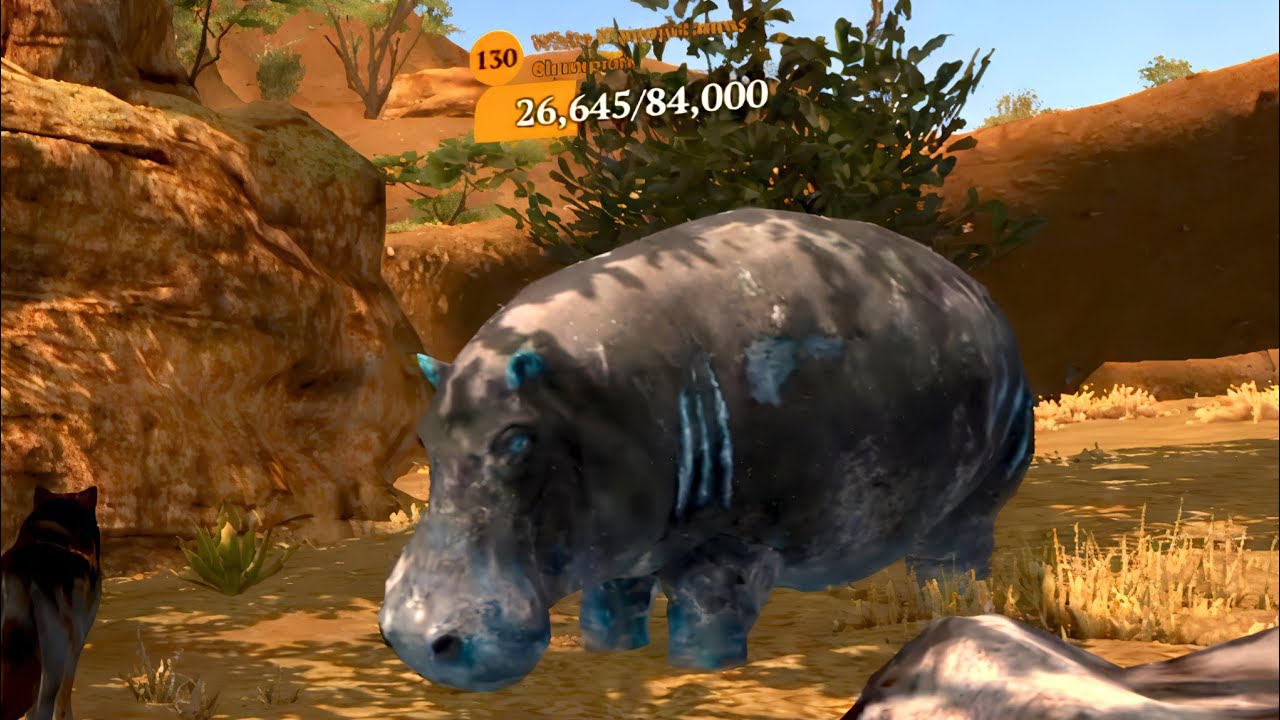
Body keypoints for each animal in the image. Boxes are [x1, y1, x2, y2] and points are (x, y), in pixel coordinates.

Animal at [379, 207, 1034, 692]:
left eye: (516, 440)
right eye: (425, 436)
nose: (410, 636)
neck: (598, 395)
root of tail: (980, 295)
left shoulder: (733, 540)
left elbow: (707, 608)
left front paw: (701, 671)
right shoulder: (618, 550)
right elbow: (609, 604)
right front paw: (609, 655)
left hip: (975, 504)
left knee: (952, 561)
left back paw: (954, 613)